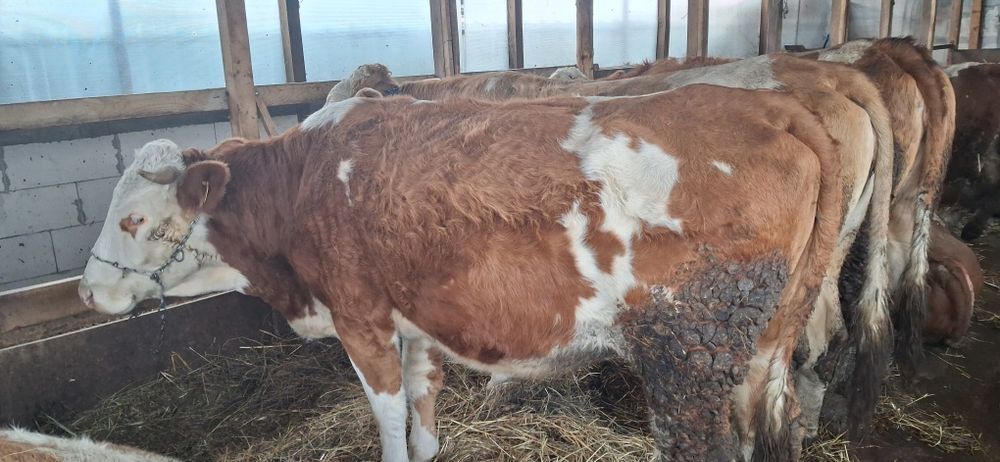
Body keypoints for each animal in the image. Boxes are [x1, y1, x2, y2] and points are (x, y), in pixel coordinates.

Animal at [80, 85, 850, 461]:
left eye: (134, 220)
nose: (87, 291)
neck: (304, 183)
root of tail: (774, 107)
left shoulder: (361, 319)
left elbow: (390, 422)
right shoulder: (418, 326)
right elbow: (424, 423)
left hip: (685, 352)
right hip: (760, 346)